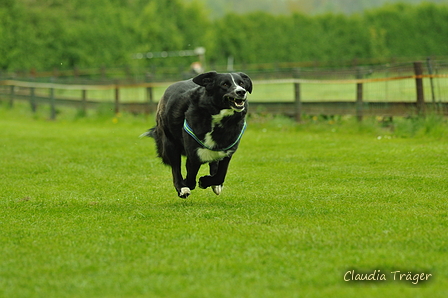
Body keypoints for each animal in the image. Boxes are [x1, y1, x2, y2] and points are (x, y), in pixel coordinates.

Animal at [142, 71, 252, 199]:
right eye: (224, 84)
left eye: (242, 83)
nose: (241, 91)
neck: (219, 119)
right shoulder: (194, 154)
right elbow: (190, 180)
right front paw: (189, 184)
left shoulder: (227, 152)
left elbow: (221, 174)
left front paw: (206, 181)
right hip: (169, 143)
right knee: (176, 168)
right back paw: (182, 188)